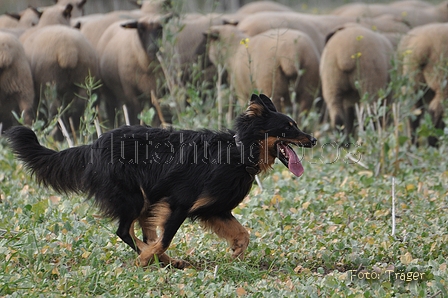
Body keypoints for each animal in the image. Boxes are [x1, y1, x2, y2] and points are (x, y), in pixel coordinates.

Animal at [6, 93, 316, 268]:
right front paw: (144, 260)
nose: (313, 140)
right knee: (125, 232)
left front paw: (236, 255)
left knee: (141, 234)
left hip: (146, 201)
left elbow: (243, 234)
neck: (238, 151)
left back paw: (166, 260)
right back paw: (153, 258)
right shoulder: (179, 203)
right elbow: (166, 238)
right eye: (288, 127)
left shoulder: (213, 209)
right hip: (134, 198)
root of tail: (92, 145)